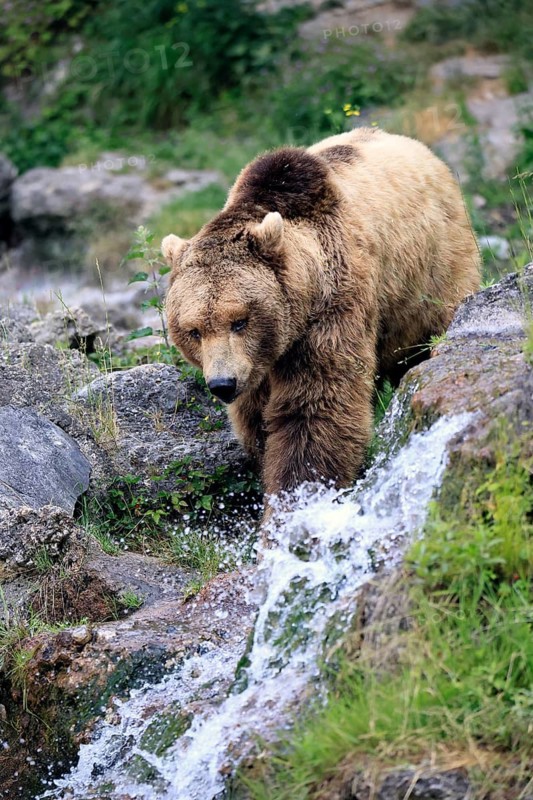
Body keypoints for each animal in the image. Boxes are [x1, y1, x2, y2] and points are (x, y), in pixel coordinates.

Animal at [162, 128, 480, 506]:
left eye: (239, 320)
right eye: (194, 330)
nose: (222, 384)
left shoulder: (333, 307)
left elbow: (315, 409)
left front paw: (298, 495)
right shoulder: (257, 362)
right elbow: (256, 418)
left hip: (433, 269)